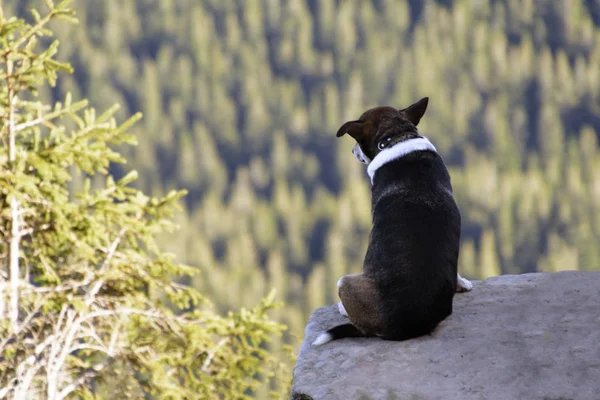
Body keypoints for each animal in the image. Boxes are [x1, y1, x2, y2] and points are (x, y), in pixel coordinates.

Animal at [312, 98, 472, 346]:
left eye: (356, 141)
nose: (352, 151)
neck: (396, 137)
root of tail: (402, 326)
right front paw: (462, 283)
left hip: (344, 282)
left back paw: (344, 309)